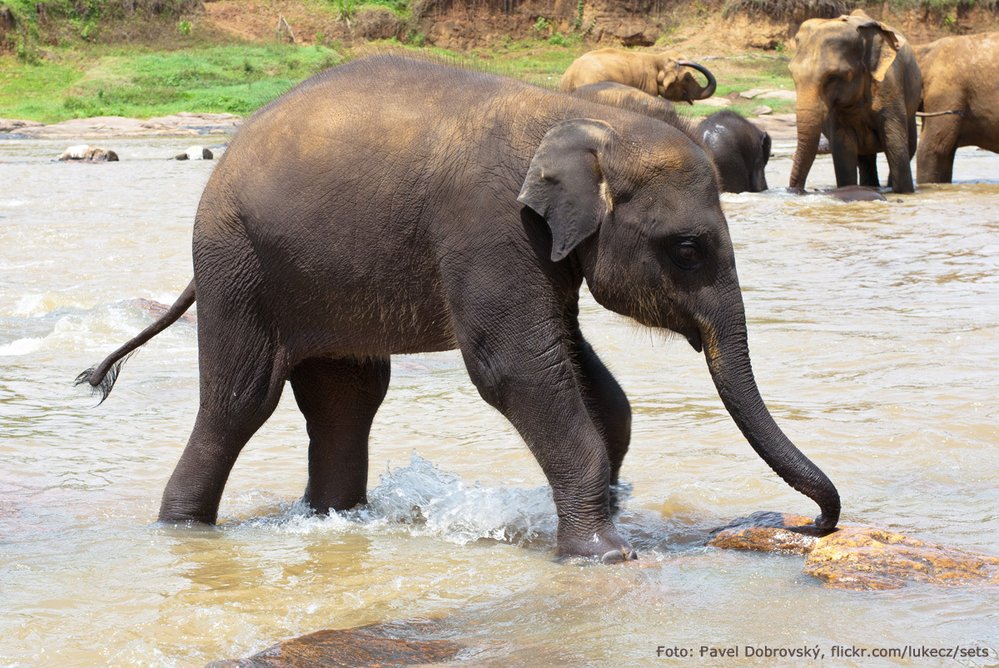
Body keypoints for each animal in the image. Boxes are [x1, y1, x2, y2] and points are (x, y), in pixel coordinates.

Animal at [788, 10, 920, 193]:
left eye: (833, 77)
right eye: (792, 75)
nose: (797, 191)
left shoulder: (890, 85)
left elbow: (896, 146)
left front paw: (905, 192)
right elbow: (843, 151)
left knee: (909, 147)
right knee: (865, 160)